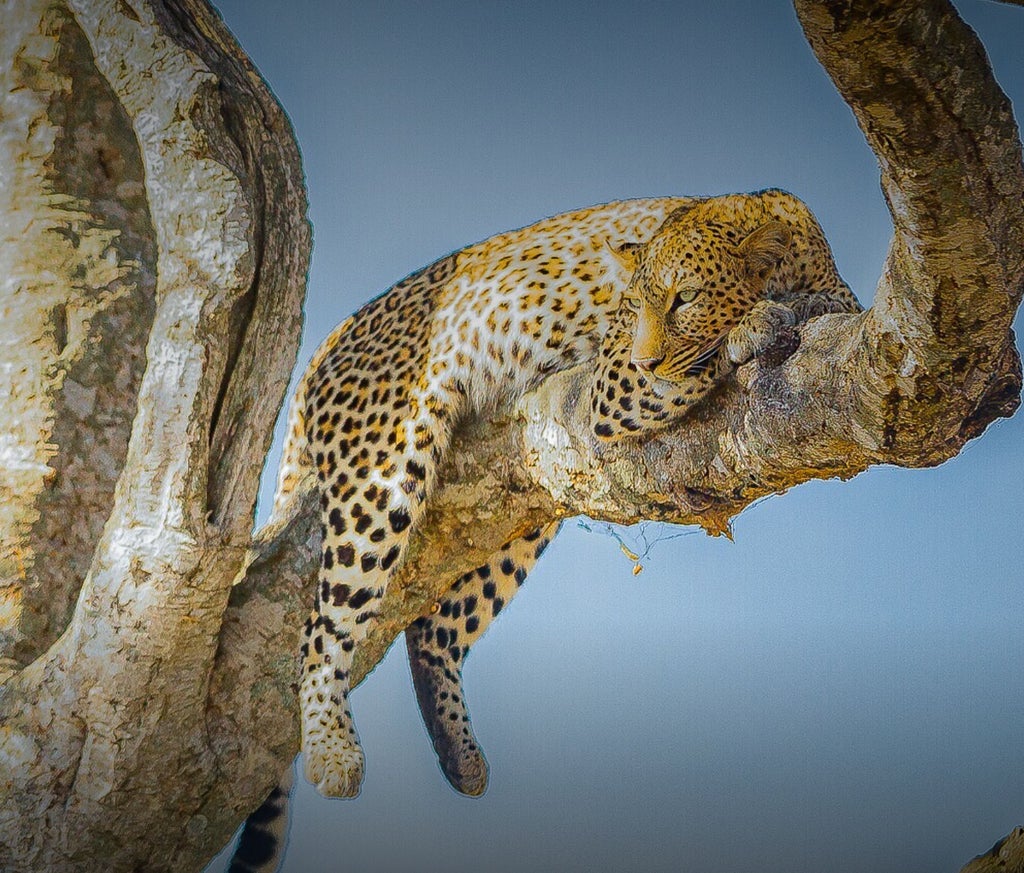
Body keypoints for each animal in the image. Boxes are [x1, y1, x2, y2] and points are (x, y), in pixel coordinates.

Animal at [268, 190, 860, 802]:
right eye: (636, 305)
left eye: (686, 298)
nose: (645, 359)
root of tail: (325, 346)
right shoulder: (613, 380)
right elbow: (707, 352)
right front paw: (757, 323)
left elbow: (820, 305)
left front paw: (781, 312)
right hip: (382, 470)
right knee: (320, 631)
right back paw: (333, 753)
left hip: (516, 508)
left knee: (433, 631)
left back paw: (461, 759)